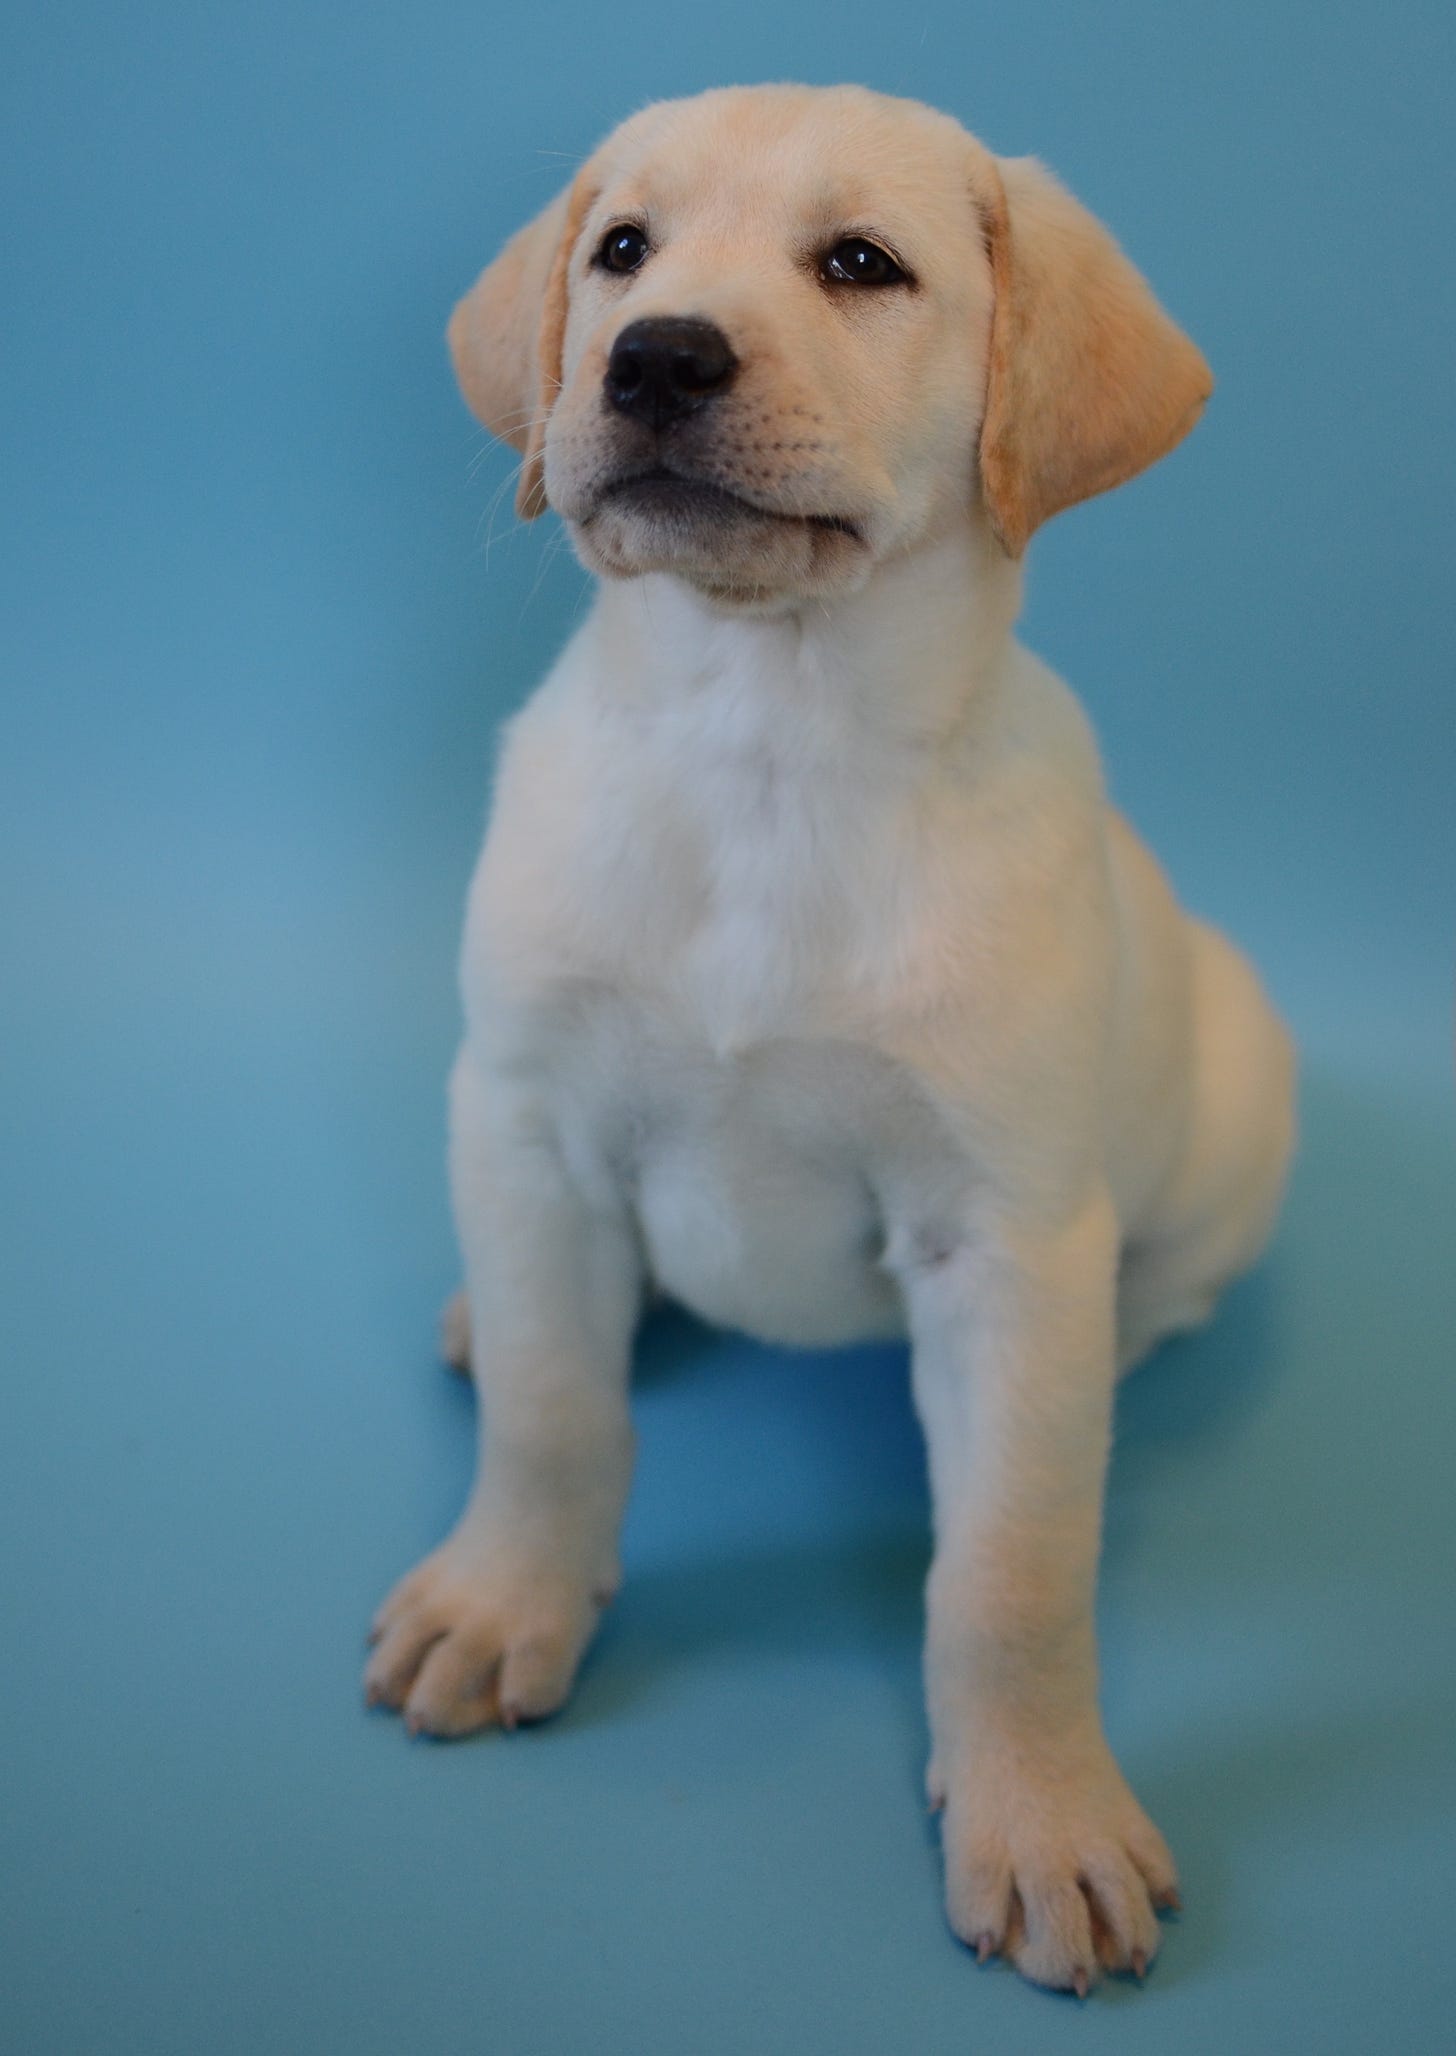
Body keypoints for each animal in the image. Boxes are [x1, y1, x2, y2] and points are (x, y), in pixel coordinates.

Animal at [364, 80, 1299, 1990]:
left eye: (863, 266)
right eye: (621, 249)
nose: (653, 355)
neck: (763, 741)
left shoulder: (1002, 1232)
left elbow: (1008, 1574)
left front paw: (1040, 1813)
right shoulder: (523, 1118)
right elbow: (556, 1420)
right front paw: (503, 1598)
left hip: (1239, 1104)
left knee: (1153, 1300)